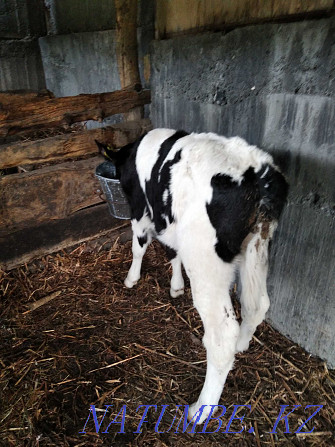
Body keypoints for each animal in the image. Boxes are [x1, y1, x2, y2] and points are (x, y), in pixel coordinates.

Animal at [96, 130, 288, 424]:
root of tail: (258, 171)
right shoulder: (168, 218)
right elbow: (173, 252)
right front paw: (176, 287)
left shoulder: (142, 210)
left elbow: (139, 245)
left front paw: (131, 278)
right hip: (258, 245)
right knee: (256, 304)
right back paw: (242, 345)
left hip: (205, 261)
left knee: (222, 334)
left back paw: (201, 410)